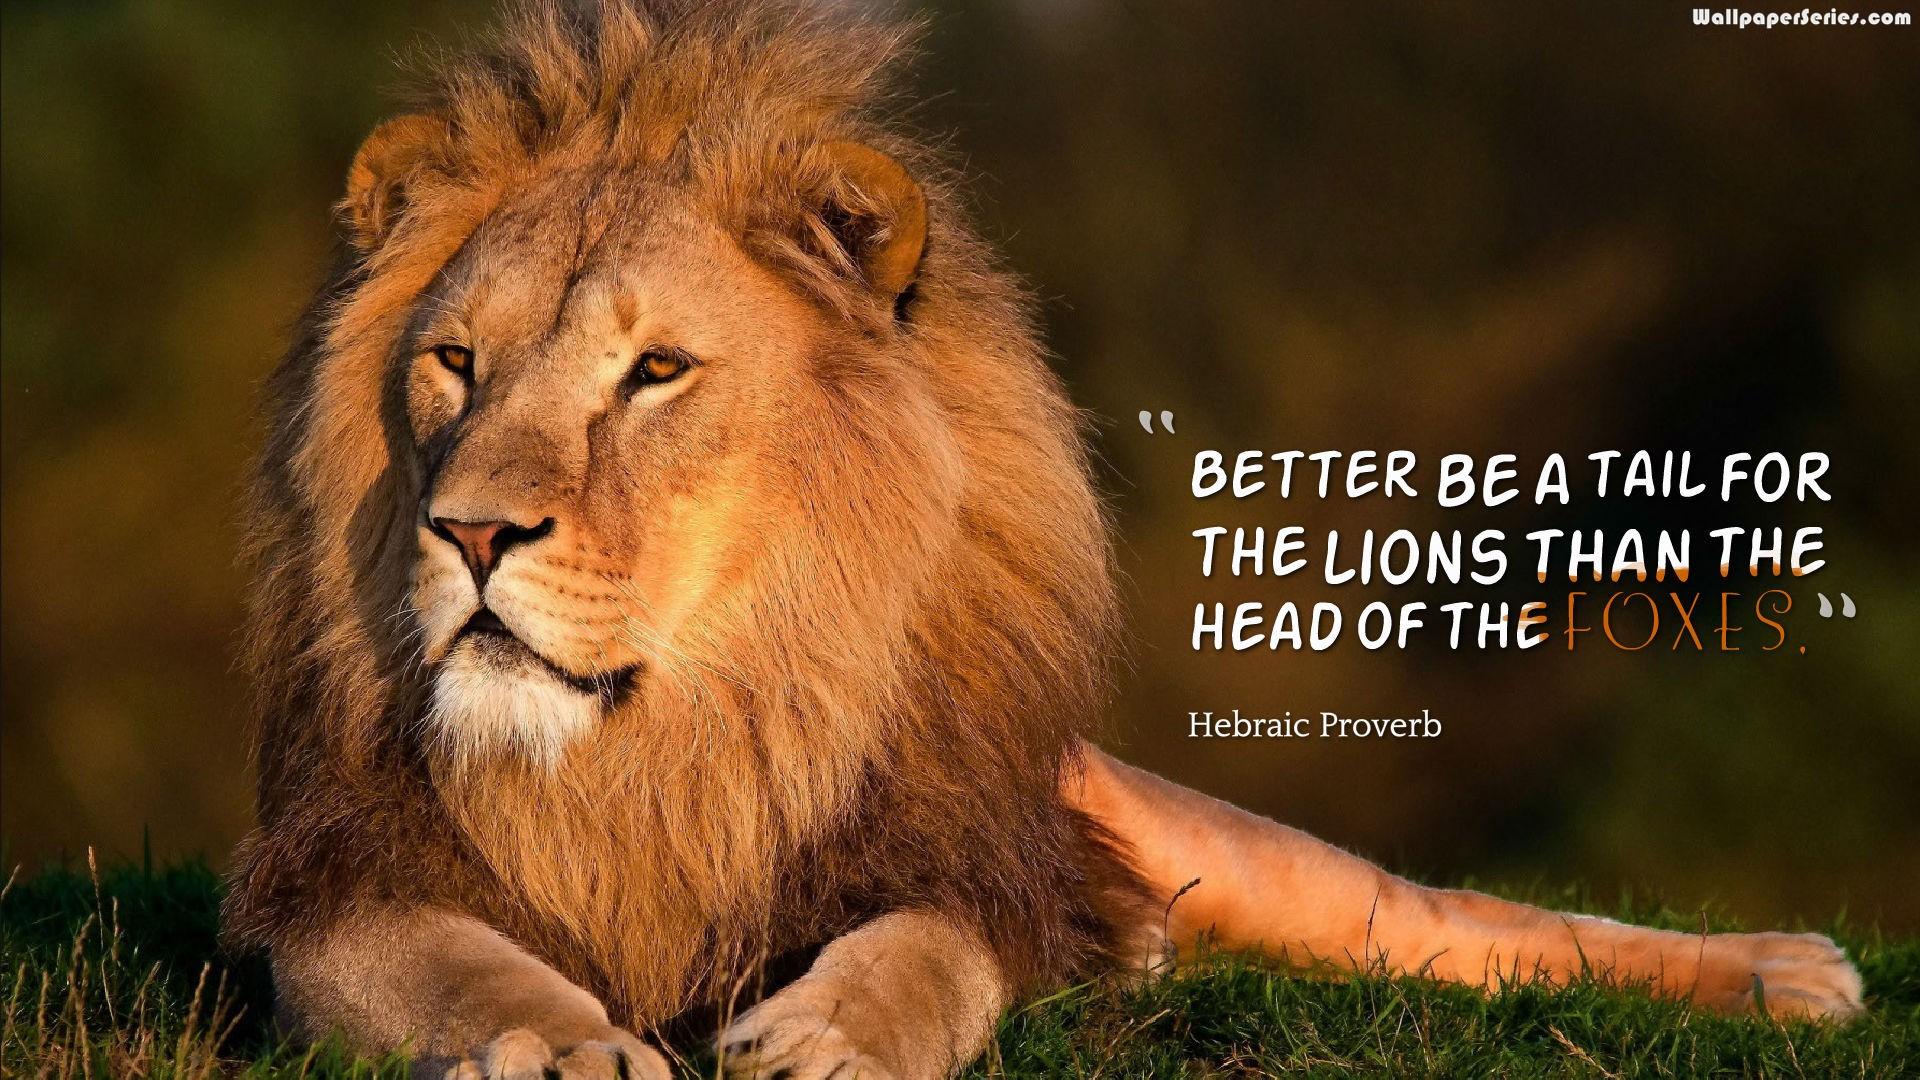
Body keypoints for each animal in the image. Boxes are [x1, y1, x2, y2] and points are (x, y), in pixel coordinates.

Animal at [222, 2, 1865, 1077]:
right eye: (456, 363)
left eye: (657, 372)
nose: (469, 532)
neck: (668, 746)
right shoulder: (332, 890)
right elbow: (452, 967)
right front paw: (564, 1048)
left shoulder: (978, 862)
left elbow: (924, 954)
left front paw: (828, 1041)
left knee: (1457, 921)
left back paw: (1794, 972)